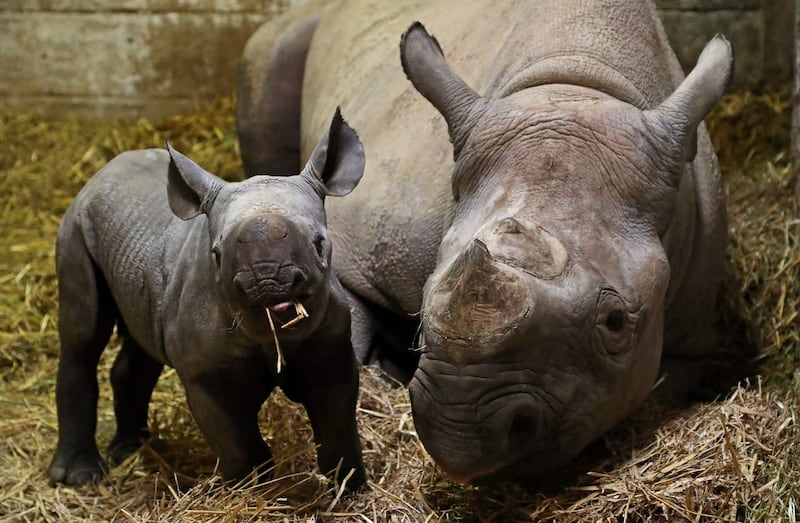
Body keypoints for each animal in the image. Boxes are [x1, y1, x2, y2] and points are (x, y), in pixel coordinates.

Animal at [51, 108, 370, 490]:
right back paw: (79, 477)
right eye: (216, 255)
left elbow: (336, 425)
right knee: (83, 337)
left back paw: (130, 450)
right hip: (75, 226)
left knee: (142, 339)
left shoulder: (331, 347)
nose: (268, 283)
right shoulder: (204, 374)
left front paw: (352, 489)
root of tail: (102, 172)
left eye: (320, 243)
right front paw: (250, 490)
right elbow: (238, 443)